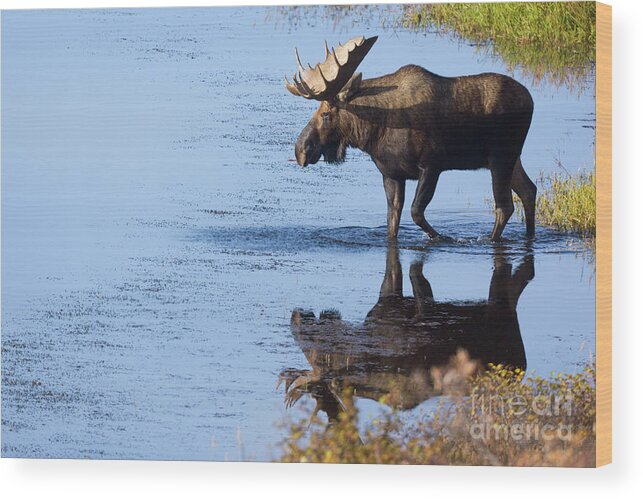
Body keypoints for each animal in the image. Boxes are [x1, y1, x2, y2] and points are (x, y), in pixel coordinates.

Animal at [286, 36, 540, 242]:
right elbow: (392, 222)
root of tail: (530, 99)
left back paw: (490, 239)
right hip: (510, 159)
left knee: (505, 206)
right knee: (529, 190)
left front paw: (442, 237)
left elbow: (416, 211)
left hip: (501, 157)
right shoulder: (392, 174)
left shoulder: (431, 165)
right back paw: (529, 236)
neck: (374, 132)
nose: (301, 150)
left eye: (326, 113)